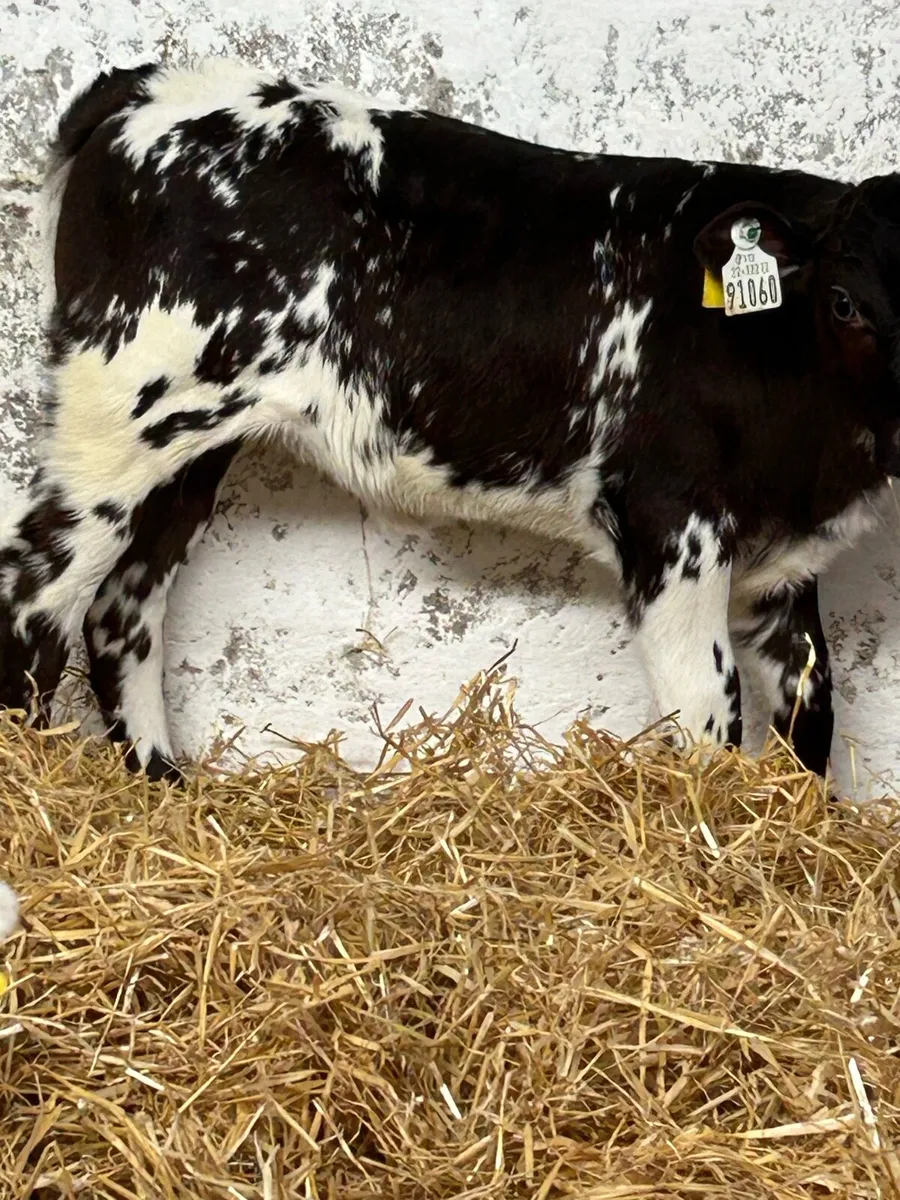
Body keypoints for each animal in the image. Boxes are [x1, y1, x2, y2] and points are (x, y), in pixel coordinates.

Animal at [1, 57, 898, 786]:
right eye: (844, 302)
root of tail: (149, 85)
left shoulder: (784, 564)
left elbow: (811, 713)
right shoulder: (670, 528)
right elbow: (710, 721)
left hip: (190, 446)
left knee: (122, 612)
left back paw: (166, 788)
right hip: (116, 416)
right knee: (35, 593)